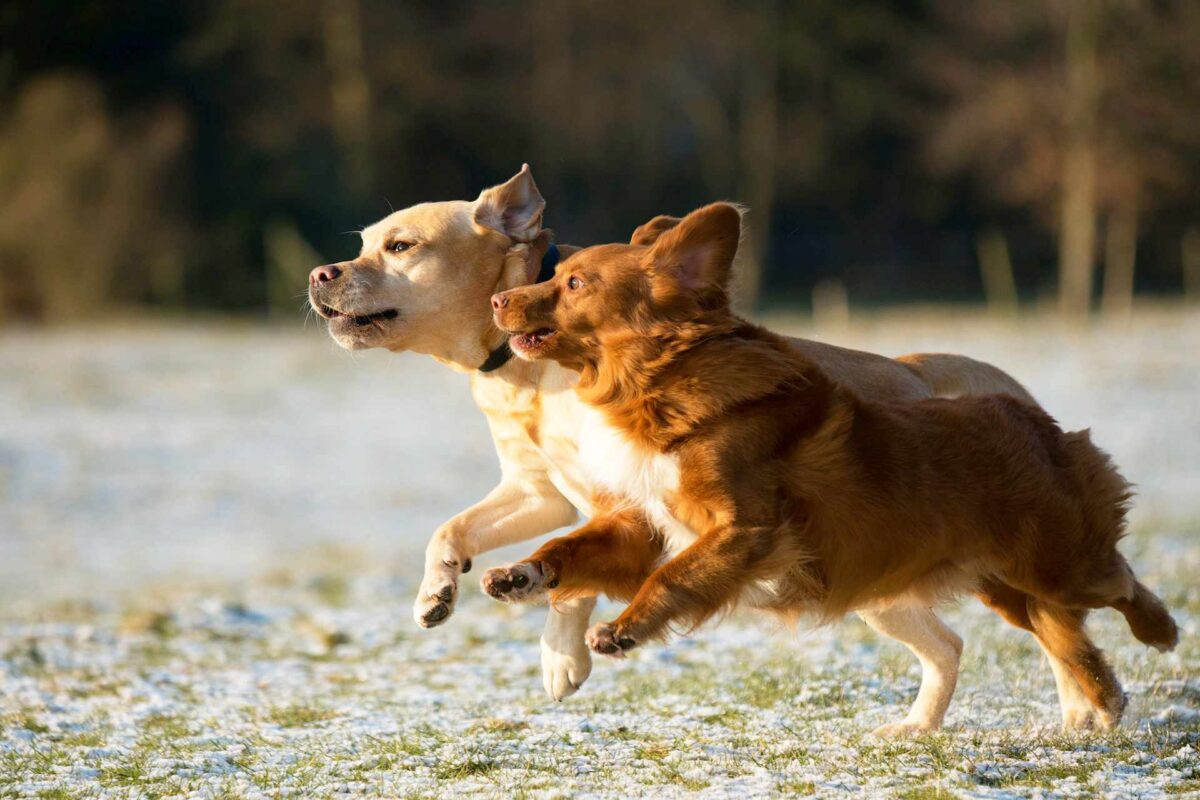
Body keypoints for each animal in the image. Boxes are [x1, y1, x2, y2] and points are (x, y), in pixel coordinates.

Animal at [307, 165, 1104, 734]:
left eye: (401, 246)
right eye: (362, 242)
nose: (320, 274)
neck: (523, 371)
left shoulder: (618, 498)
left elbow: (577, 583)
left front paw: (561, 659)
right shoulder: (538, 489)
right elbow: (453, 531)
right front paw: (436, 593)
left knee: (1047, 626)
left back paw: (1080, 716)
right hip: (865, 583)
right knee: (950, 646)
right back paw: (918, 727)